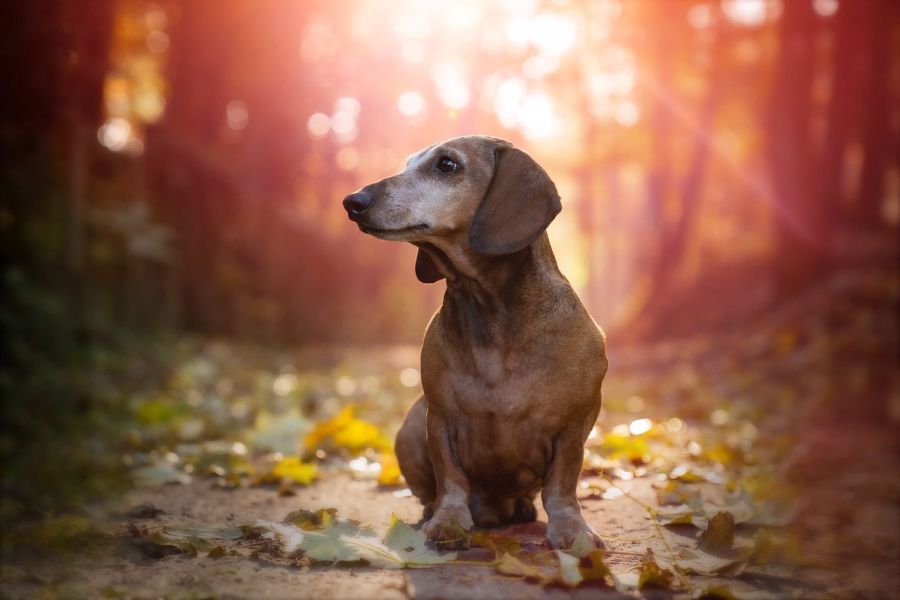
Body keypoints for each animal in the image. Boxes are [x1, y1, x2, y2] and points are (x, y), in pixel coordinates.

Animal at [342, 135, 608, 548]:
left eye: (447, 164)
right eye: (407, 163)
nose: (353, 201)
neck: (488, 307)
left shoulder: (574, 425)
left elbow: (562, 486)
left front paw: (571, 529)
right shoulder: (440, 418)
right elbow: (451, 479)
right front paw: (448, 520)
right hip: (410, 427)